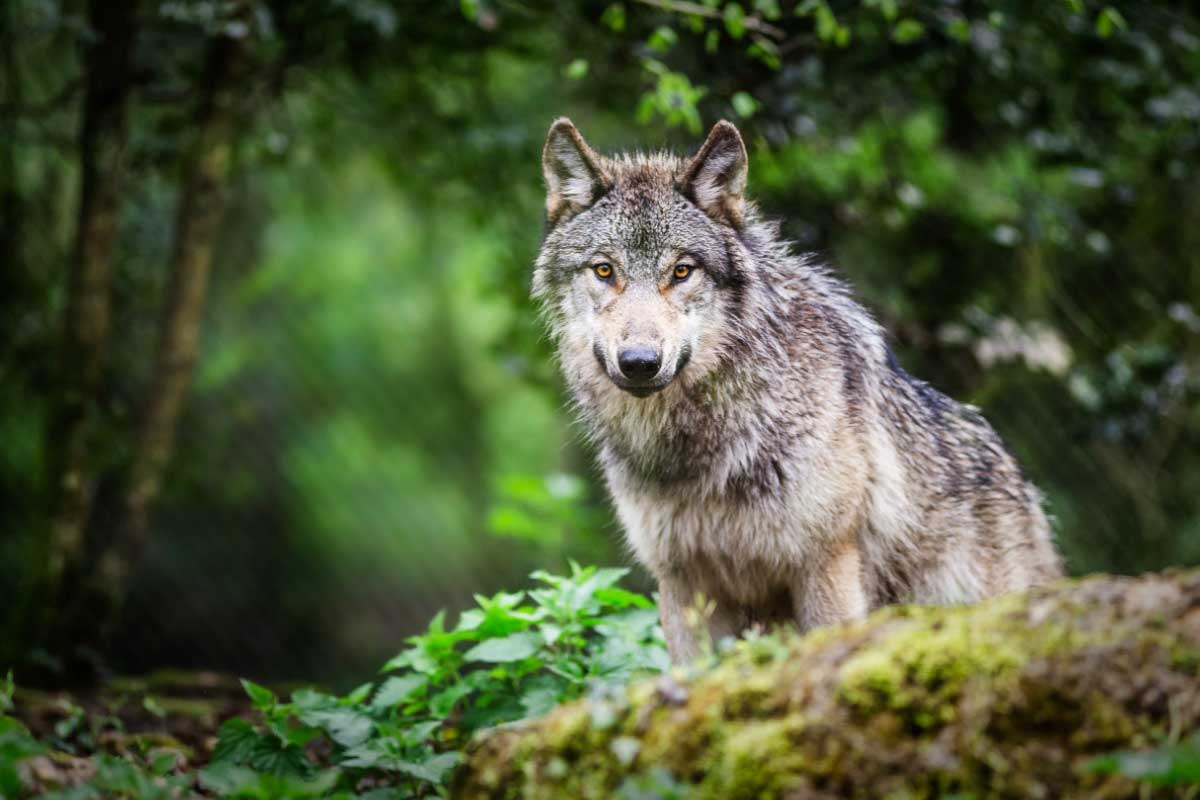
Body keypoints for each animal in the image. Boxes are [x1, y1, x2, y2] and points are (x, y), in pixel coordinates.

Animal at [533, 118, 1062, 663]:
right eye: (604, 270)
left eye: (681, 271)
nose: (639, 363)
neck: (702, 449)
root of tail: (1020, 482)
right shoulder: (683, 585)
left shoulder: (826, 566)